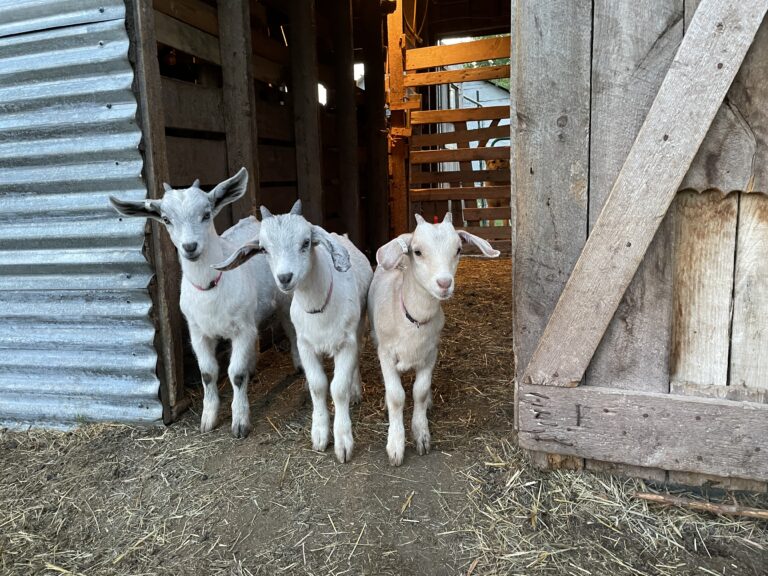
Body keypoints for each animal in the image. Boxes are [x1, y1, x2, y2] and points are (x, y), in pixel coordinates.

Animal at [109, 168, 299, 438]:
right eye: (166, 219)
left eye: (206, 214)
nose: (190, 247)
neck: (211, 287)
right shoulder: (197, 331)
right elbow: (208, 373)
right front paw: (208, 420)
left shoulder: (242, 328)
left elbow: (236, 374)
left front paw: (240, 423)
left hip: (284, 299)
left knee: (291, 329)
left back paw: (298, 365)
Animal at [214, 200, 373, 462]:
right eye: (264, 249)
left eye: (306, 242)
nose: (285, 277)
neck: (318, 308)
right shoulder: (305, 345)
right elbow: (318, 385)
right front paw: (319, 435)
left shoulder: (345, 343)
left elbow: (338, 388)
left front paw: (343, 443)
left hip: (359, 325)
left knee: (357, 358)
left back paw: (356, 390)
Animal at [368, 212, 499, 465]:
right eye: (417, 251)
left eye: (458, 249)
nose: (444, 283)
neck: (412, 319)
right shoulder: (386, 354)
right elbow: (396, 397)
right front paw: (396, 445)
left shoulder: (430, 354)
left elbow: (419, 391)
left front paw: (421, 434)